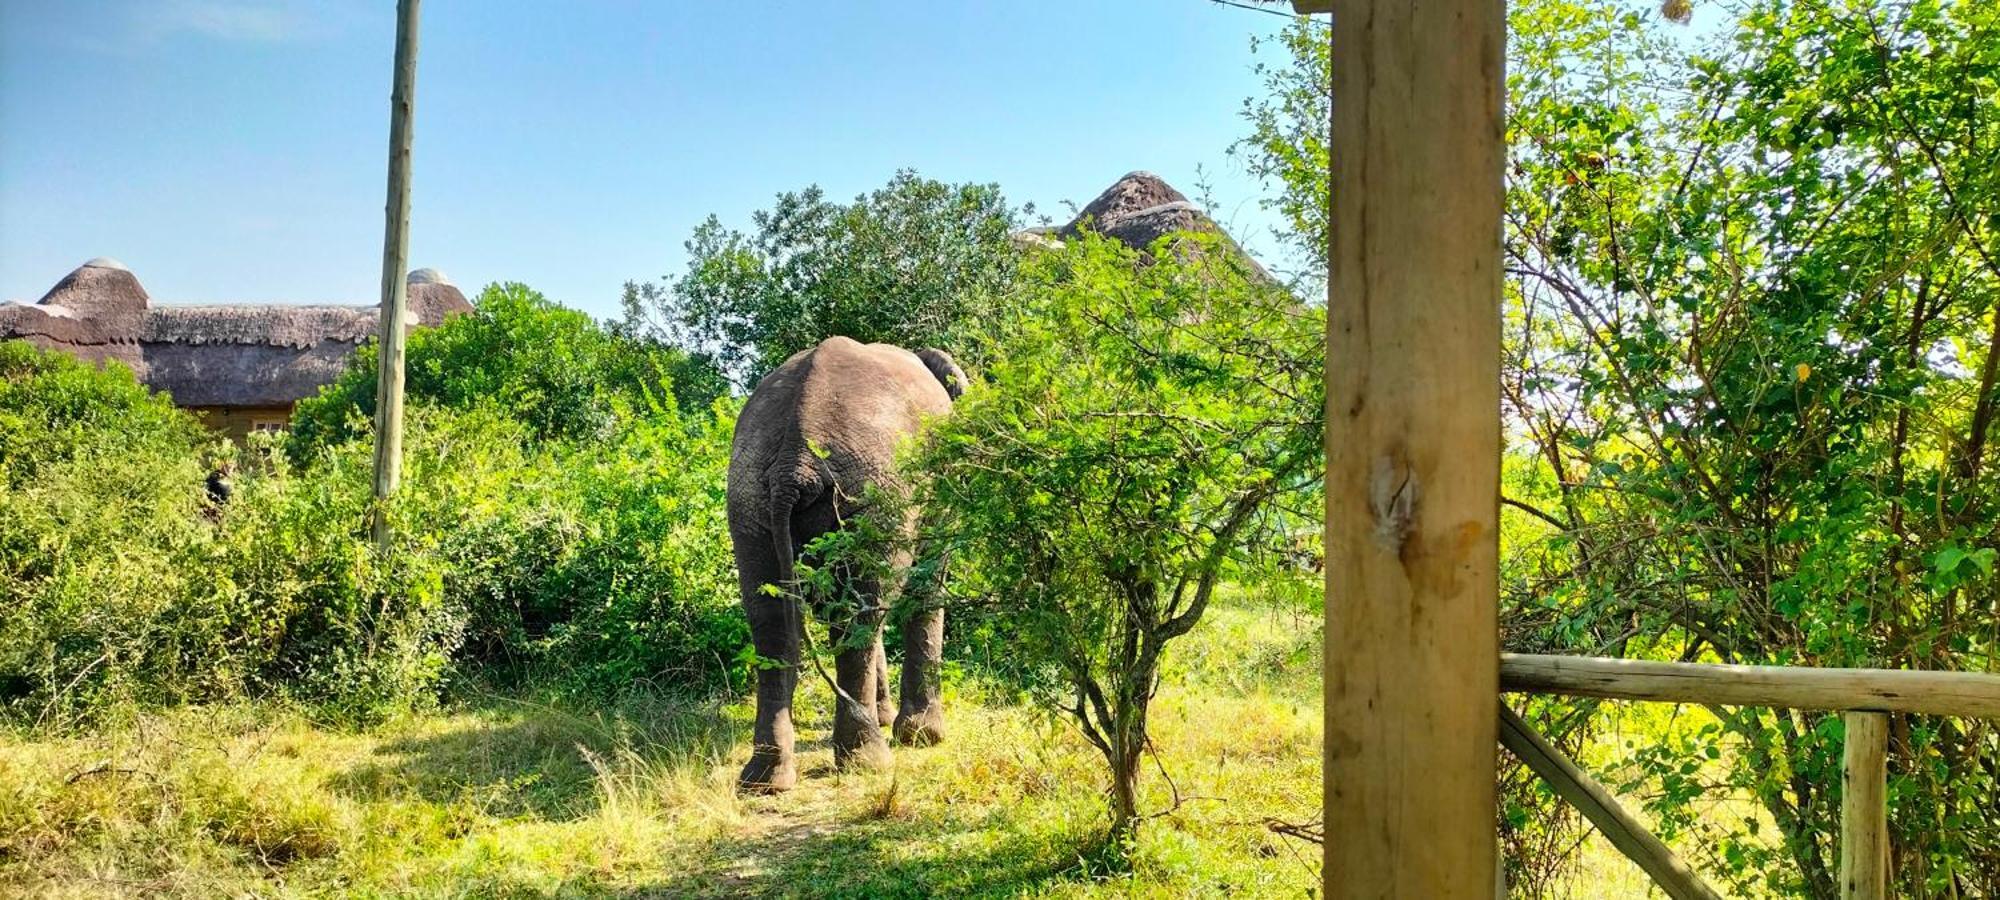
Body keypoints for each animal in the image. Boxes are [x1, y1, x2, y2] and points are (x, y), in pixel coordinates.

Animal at [728, 334, 968, 792]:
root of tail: (794, 457)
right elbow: (927, 585)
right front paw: (923, 738)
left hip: (751, 497)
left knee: (774, 621)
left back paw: (766, 780)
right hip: (872, 491)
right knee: (860, 615)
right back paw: (868, 763)